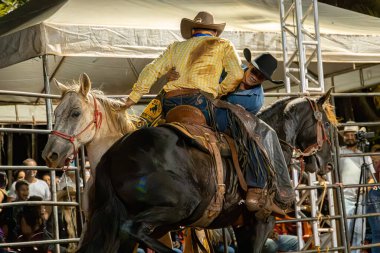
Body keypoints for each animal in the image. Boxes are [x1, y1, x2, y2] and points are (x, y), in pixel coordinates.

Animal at [43, 75, 336, 253]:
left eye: (74, 112)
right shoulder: (260, 222)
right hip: (180, 205)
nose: (51, 154)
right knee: (133, 229)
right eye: (327, 124)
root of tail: (115, 154)